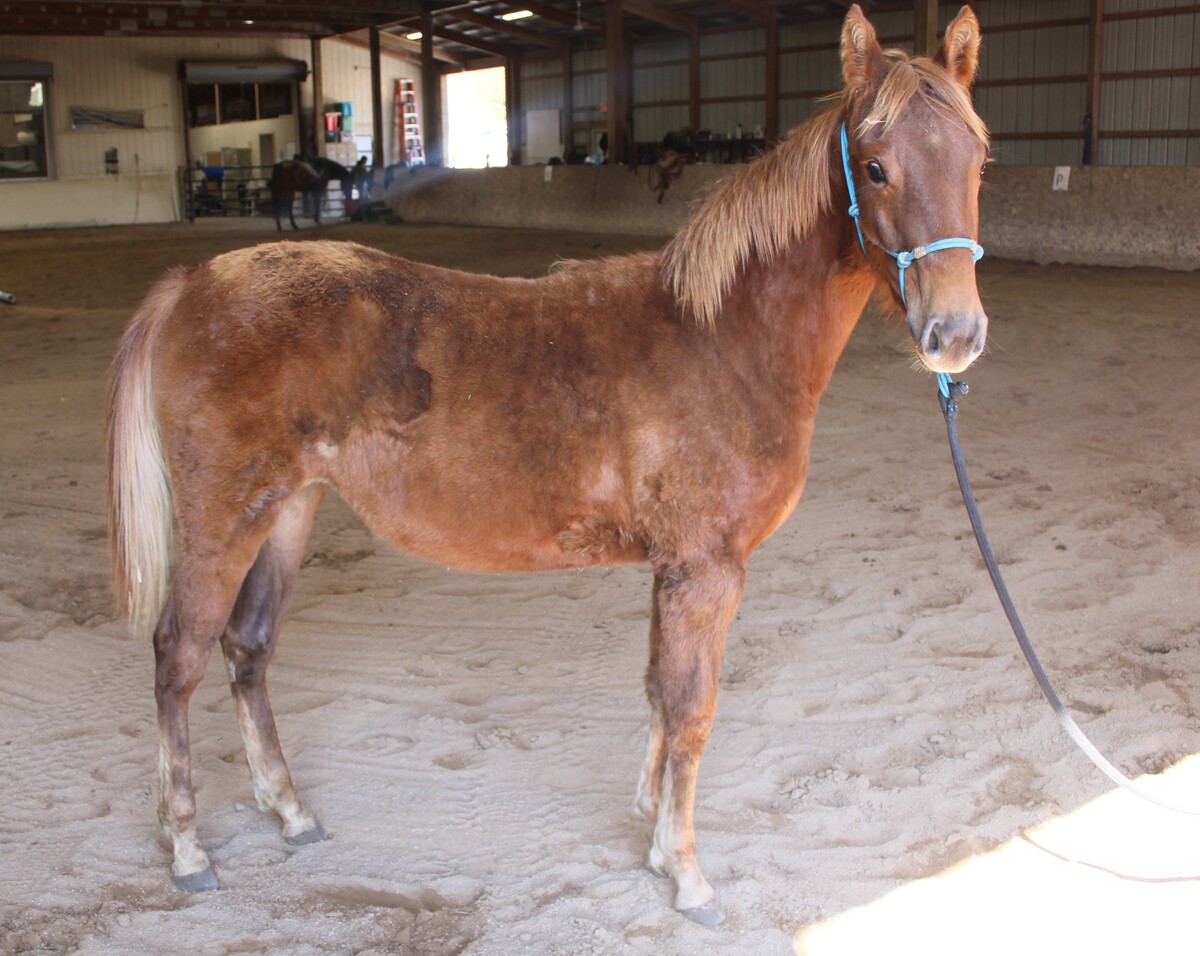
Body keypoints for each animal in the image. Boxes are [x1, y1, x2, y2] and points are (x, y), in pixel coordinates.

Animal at [106, 5, 988, 925]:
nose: (955, 335)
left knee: (248, 650)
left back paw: (290, 811)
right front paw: (687, 872)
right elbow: (693, 708)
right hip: (224, 524)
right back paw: (188, 851)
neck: (722, 337)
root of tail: (191, 283)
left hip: (286, 511)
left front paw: (651, 829)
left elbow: (658, 689)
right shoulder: (708, 571)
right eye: (877, 167)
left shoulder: (671, 570)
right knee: (178, 659)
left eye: (979, 161)